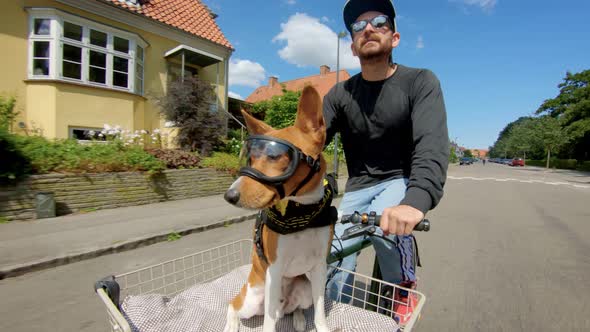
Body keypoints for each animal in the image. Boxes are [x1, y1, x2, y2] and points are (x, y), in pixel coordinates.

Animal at [224, 86, 336, 332]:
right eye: (251, 158)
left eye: (275, 156)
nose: (229, 196)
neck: (301, 214)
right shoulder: (274, 270)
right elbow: (268, 323)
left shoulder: (319, 268)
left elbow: (320, 313)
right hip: (253, 299)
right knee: (235, 304)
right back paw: (231, 325)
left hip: (304, 290)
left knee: (295, 309)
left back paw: (299, 319)